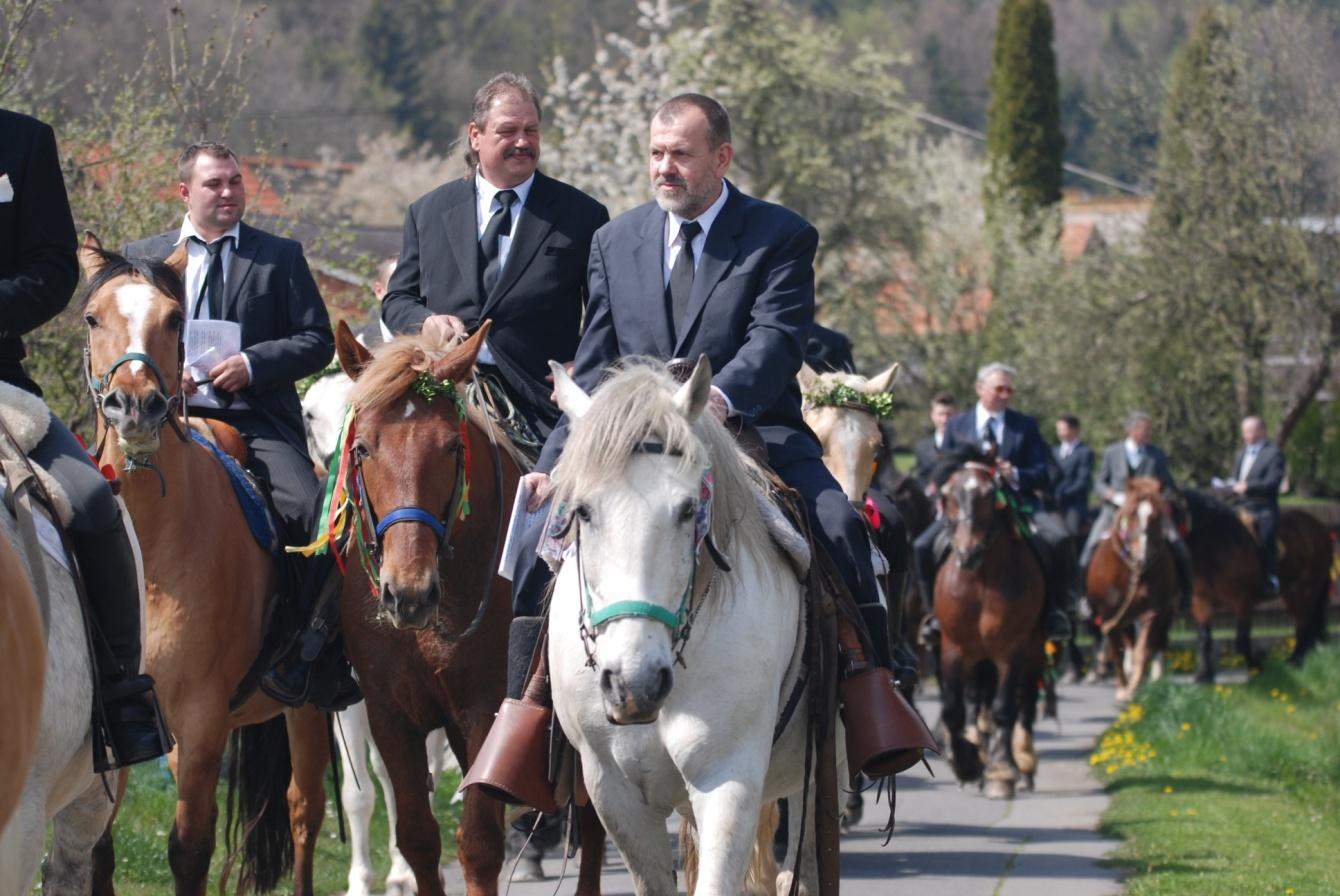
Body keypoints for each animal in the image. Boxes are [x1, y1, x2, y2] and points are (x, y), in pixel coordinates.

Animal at [78, 239, 329, 894]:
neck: (150, 556)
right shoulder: (127, 719)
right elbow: (96, 851)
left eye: (173, 319)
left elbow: (189, 850)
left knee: (305, 811)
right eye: (92, 319)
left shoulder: (200, 721)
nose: (134, 406)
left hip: (310, 709)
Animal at [332, 322, 605, 894]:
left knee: (595, 823)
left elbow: (478, 843)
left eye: (451, 446)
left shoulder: (487, 710)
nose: (408, 593)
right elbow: (418, 838)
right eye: (363, 448)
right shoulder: (391, 715)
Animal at [932, 455, 1045, 798]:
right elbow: (953, 710)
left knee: (1025, 704)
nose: (967, 553)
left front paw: (1001, 772)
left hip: (1033, 652)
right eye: (948, 496)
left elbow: (1004, 709)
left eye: (988, 497)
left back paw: (1023, 761)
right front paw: (966, 764)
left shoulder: (1012, 650)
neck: (981, 580)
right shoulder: (953, 648)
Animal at [1082, 479, 1179, 701]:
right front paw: (1122, 689)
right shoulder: (1108, 615)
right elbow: (1116, 653)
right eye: (1132, 513)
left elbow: (1141, 652)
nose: (1141, 554)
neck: (1132, 570)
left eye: (1156, 516)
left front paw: (1133, 689)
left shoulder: (1150, 613)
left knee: (1151, 644)